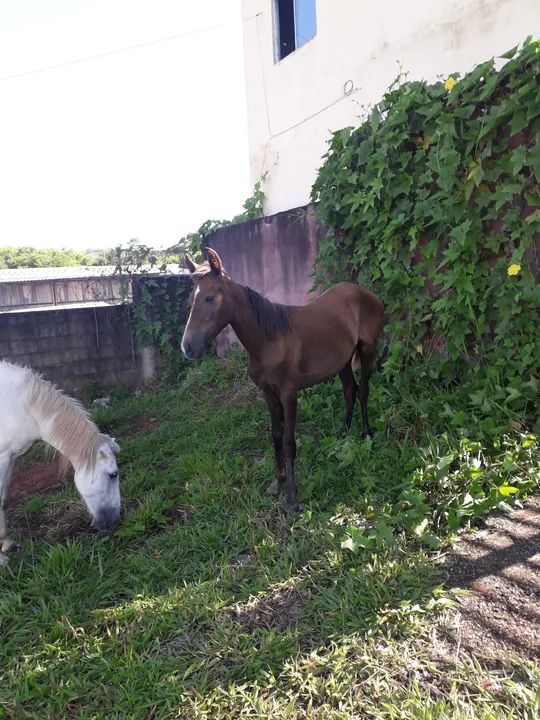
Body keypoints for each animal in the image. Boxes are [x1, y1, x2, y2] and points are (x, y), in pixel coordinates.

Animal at [0, 360, 121, 565]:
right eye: (113, 474)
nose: (113, 519)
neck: (19, 404)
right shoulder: (2, 458)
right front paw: (2, 559)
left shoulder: (10, 458)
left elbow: (3, 501)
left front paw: (7, 543)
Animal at [181, 248, 384, 512]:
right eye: (191, 299)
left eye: (209, 298)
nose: (187, 347)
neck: (269, 341)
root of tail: (369, 295)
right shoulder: (268, 394)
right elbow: (276, 436)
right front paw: (276, 483)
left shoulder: (289, 394)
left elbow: (288, 441)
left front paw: (292, 497)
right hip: (343, 362)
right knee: (350, 390)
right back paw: (341, 435)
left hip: (367, 351)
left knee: (362, 391)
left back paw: (366, 433)